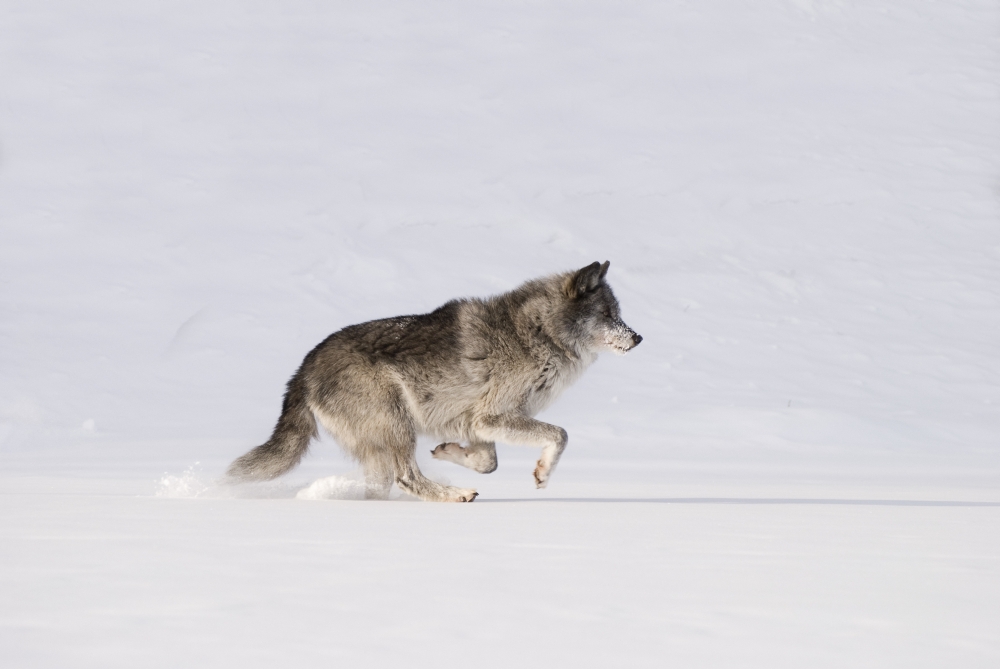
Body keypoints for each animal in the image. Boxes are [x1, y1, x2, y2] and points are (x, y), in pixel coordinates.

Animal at [226, 261, 642, 502]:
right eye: (607, 314)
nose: (638, 337)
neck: (537, 335)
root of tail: (303, 368)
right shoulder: (492, 416)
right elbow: (560, 435)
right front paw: (542, 473)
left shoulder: (478, 423)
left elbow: (487, 462)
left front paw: (448, 452)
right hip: (397, 424)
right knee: (406, 477)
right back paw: (456, 495)